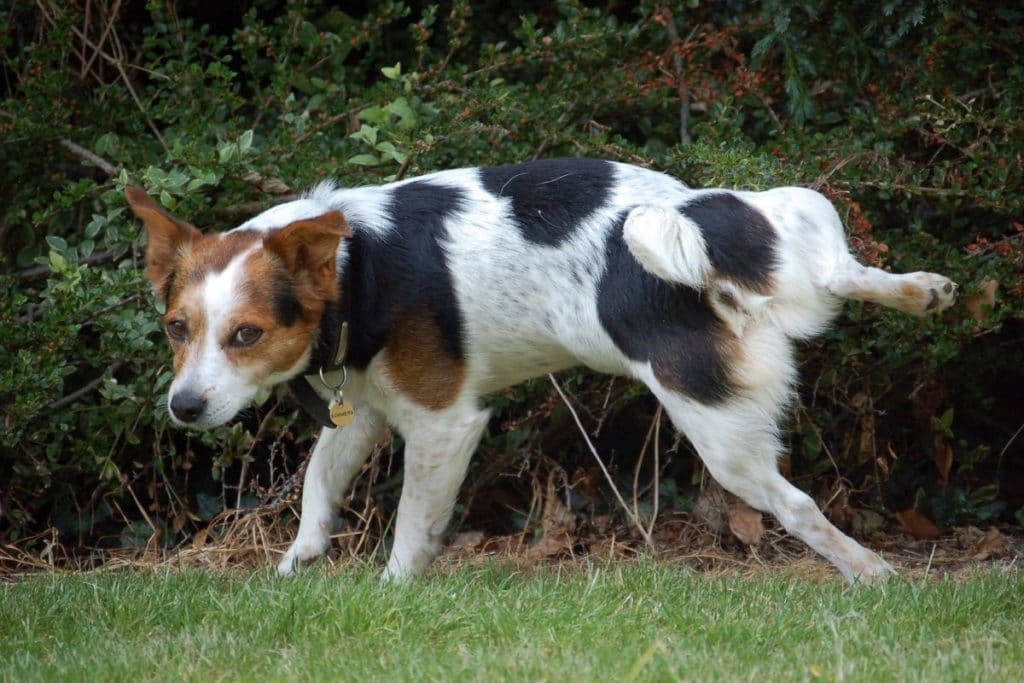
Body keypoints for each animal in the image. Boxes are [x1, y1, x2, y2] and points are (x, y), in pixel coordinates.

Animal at [123, 158, 954, 581]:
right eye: (176, 328)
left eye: (246, 334)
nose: (182, 407)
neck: (356, 265)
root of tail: (695, 226)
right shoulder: (365, 408)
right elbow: (319, 483)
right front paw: (298, 560)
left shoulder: (443, 422)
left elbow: (411, 519)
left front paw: (392, 589)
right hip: (789, 227)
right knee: (842, 273)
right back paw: (921, 290)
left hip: (720, 434)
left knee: (798, 504)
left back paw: (869, 569)